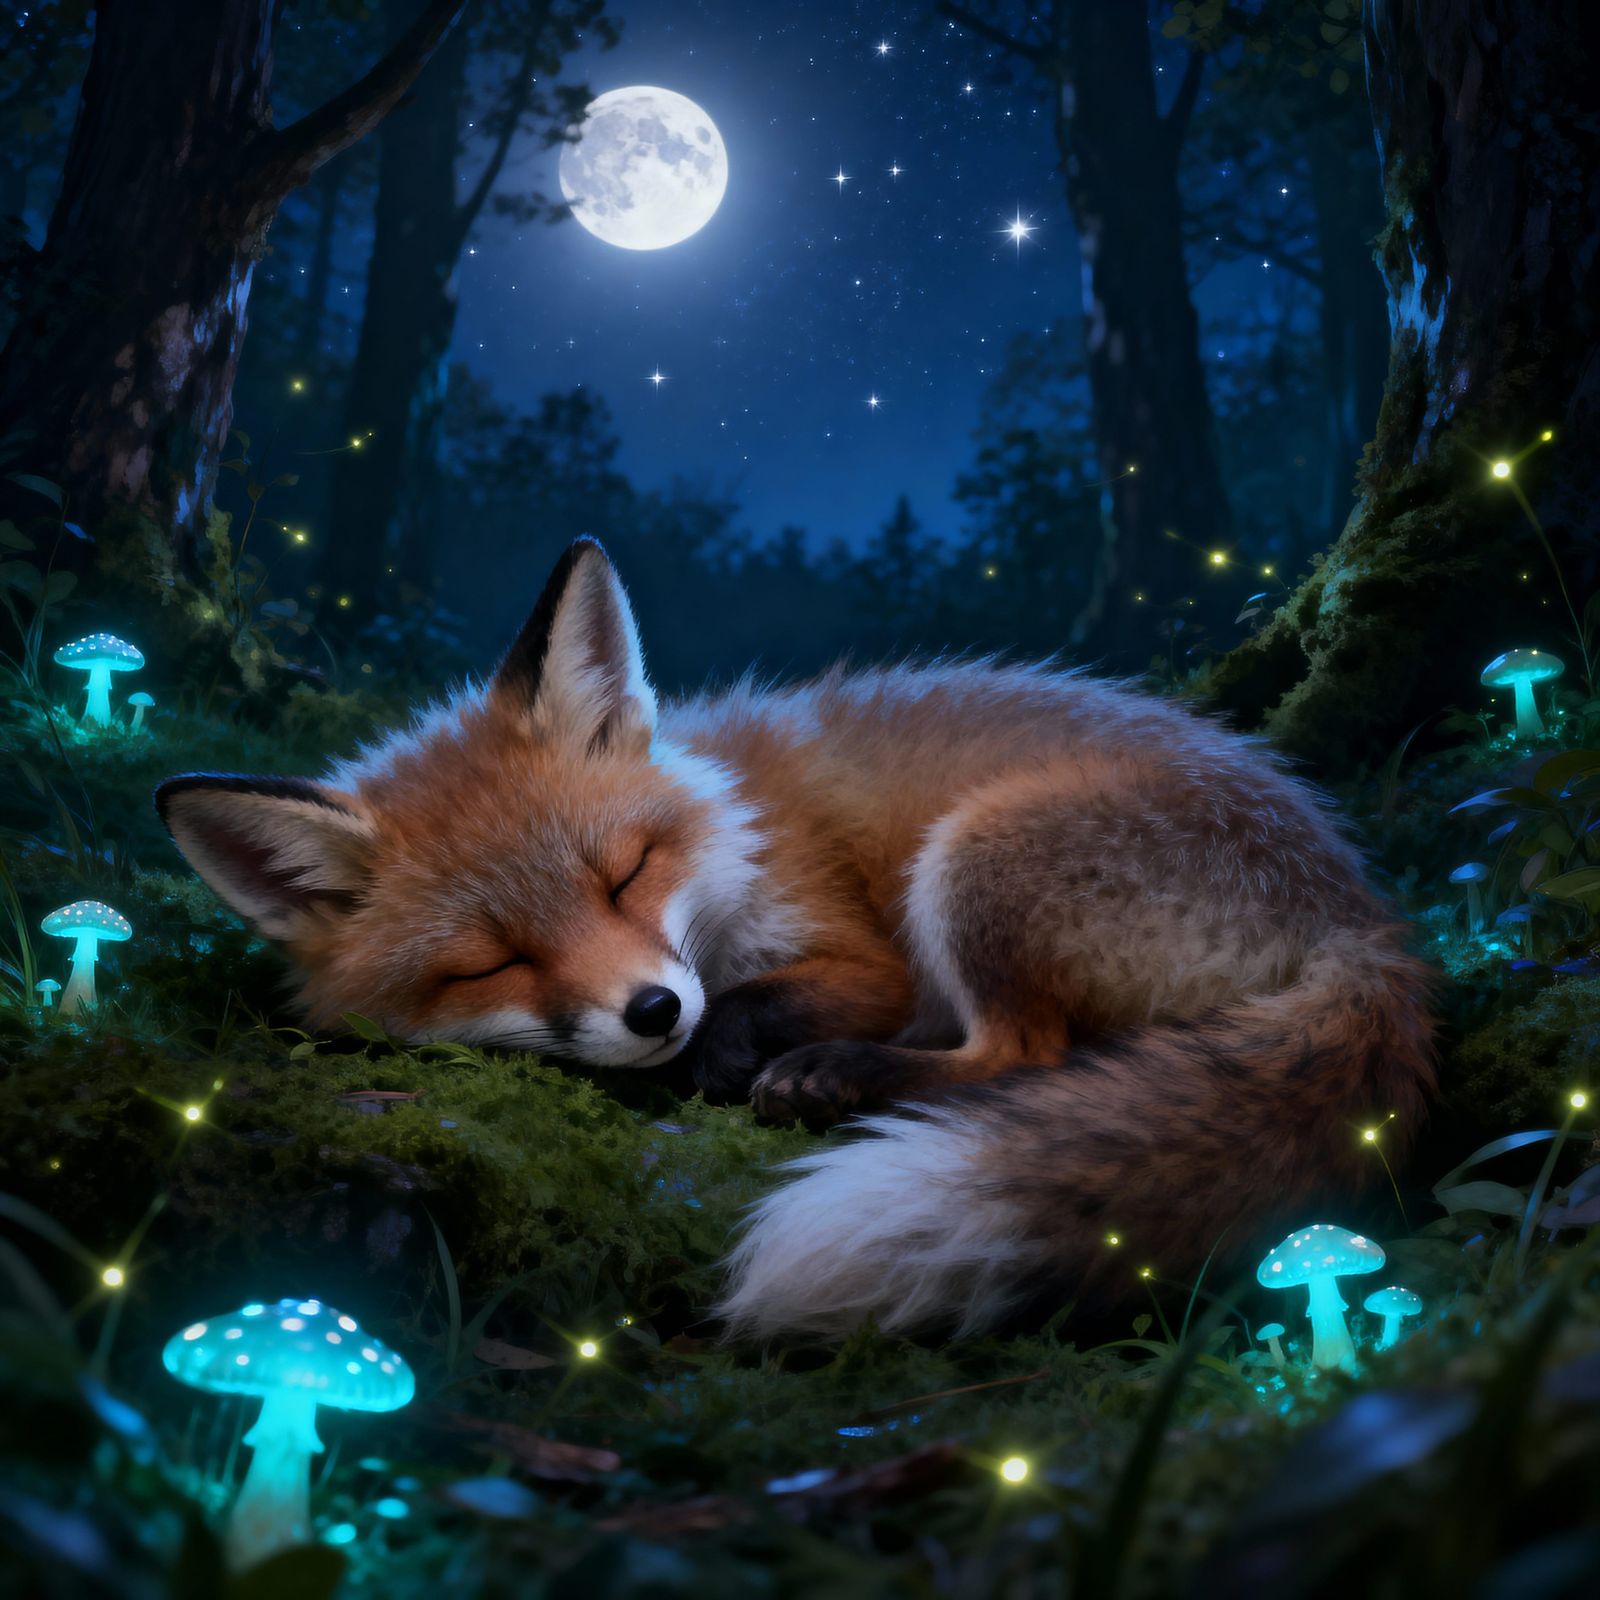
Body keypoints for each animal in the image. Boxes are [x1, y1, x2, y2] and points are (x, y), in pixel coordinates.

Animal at [156, 537, 1435, 1341]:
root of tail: (1364, 918)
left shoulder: (864, 957)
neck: (728, 823)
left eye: (623, 874)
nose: (650, 1012)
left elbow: (769, 1002)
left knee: (1023, 1057)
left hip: (971, 862)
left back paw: (834, 1081)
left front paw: (728, 1052)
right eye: (490, 962)